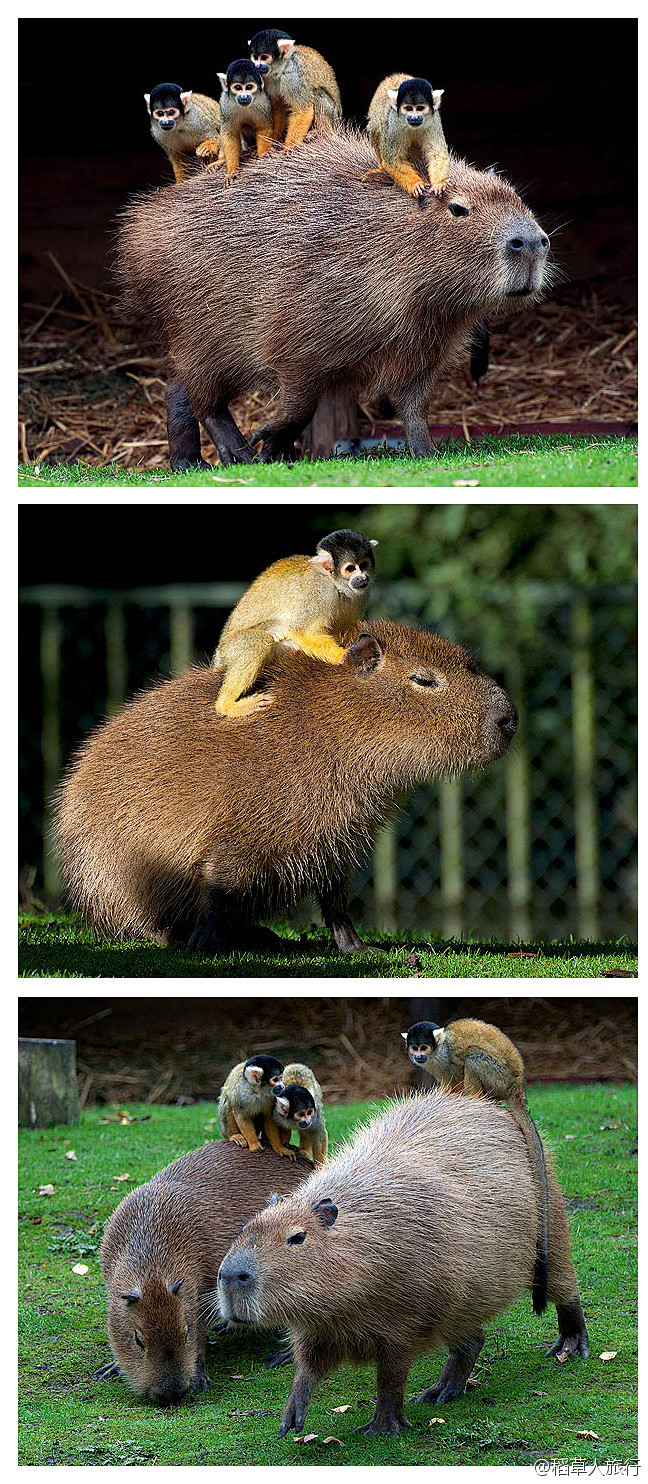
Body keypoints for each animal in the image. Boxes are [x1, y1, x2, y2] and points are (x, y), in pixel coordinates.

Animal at [212, 531, 376, 721]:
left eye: (364, 565)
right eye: (350, 569)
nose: (363, 578)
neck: (336, 585)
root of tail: (218, 654)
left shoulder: (360, 595)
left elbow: (346, 626)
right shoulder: (319, 590)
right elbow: (301, 630)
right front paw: (342, 655)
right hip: (230, 649)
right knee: (261, 641)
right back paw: (227, 705)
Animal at [400, 1015, 548, 1317]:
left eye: (424, 1047)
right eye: (415, 1048)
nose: (419, 1056)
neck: (437, 1051)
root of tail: (519, 1086)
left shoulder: (445, 1057)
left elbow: (456, 1072)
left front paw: (450, 1094)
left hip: (498, 1074)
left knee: (472, 1056)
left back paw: (474, 1096)